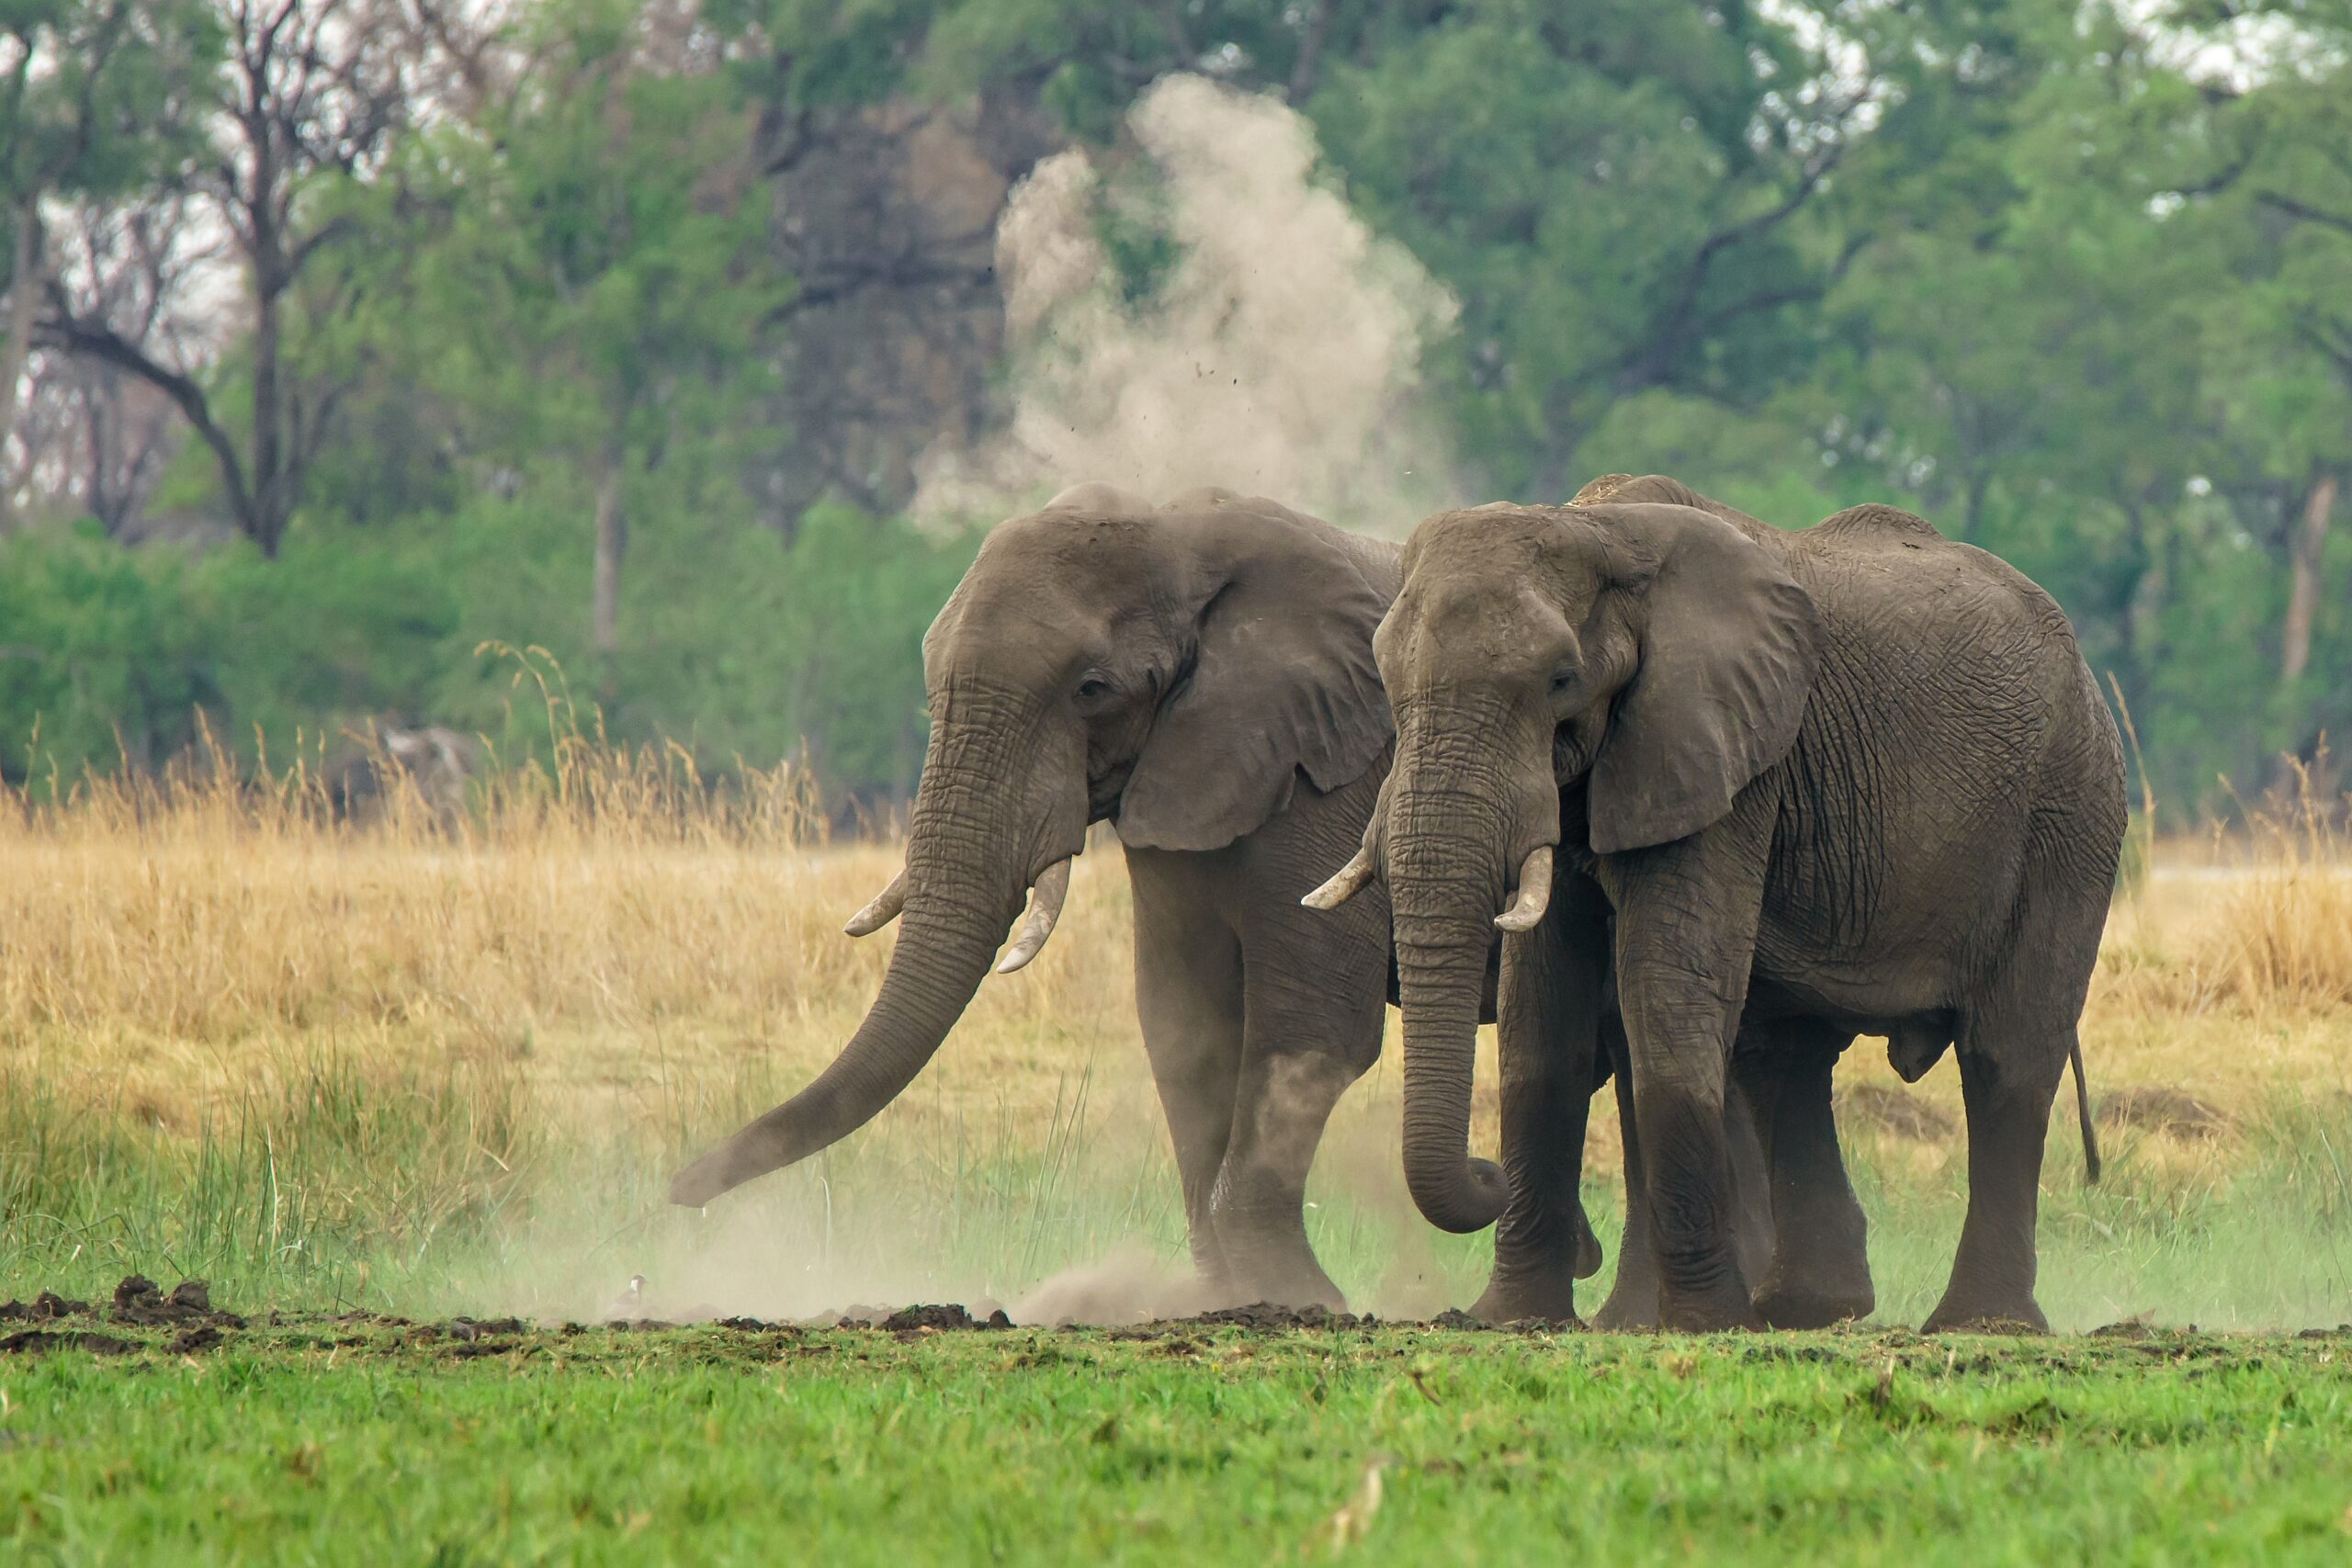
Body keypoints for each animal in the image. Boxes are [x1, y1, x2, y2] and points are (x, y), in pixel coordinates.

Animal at [667, 482, 1601, 1311]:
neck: (1178, 533)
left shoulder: (1327, 774)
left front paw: (1301, 1297)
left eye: (1092, 689)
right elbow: (1183, 1025)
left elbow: (1313, 1025)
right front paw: (1228, 1296)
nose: (679, 1191)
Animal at [1308, 474, 2118, 1333]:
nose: (1484, 1170)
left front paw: (1700, 1323)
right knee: (1786, 1056)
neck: (1599, 530)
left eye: (1560, 680)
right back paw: (1806, 1307)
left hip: (2070, 807)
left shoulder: (1723, 754)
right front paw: (1511, 1319)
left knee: (2007, 1052)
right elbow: (1543, 1017)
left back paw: (1978, 1323)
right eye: (1386, 681)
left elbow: (1665, 989)